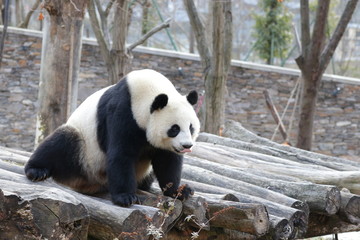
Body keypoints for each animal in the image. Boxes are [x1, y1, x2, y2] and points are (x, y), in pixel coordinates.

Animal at [25, 69, 200, 206]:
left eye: (191, 127)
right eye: (175, 129)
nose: (186, 146)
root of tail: (91, 183)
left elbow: (167, 161)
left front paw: (180, 191)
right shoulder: (122, 112)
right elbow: (121, 154)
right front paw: (125, 197)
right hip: (83, 152)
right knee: (61, 142)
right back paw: (36, 170)